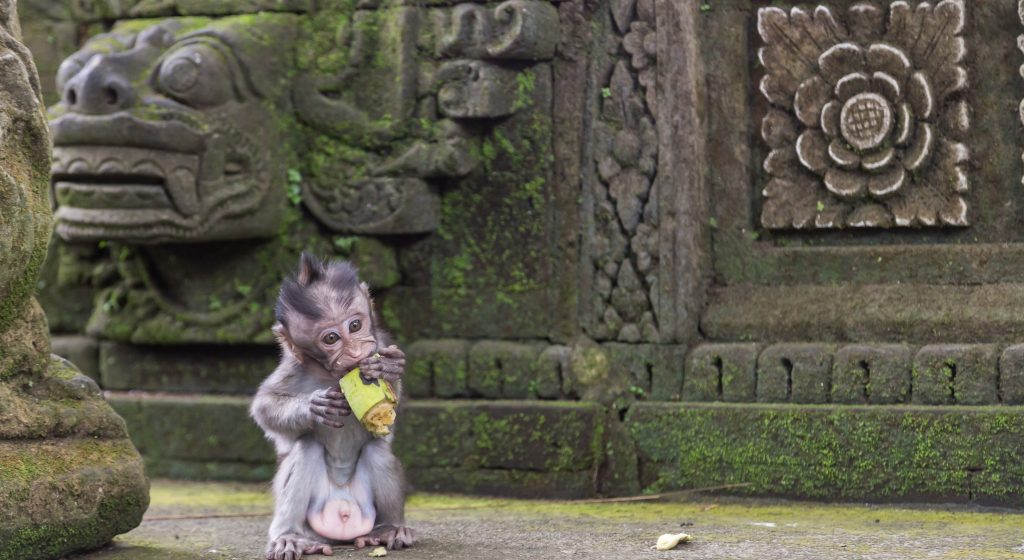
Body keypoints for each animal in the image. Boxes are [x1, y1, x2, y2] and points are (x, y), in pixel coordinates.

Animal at [251, 253, 415, 560]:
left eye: (355, 326)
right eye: (331, 339)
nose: (355, 352)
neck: (332, 375)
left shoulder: (381, 344)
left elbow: (389, 416)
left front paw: (389, 369)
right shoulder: (294, 366)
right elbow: (264, 405)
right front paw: (312, 407)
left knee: (377, 449)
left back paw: (389, 529)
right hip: (312, 520)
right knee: (306, 448)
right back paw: (289, 536)